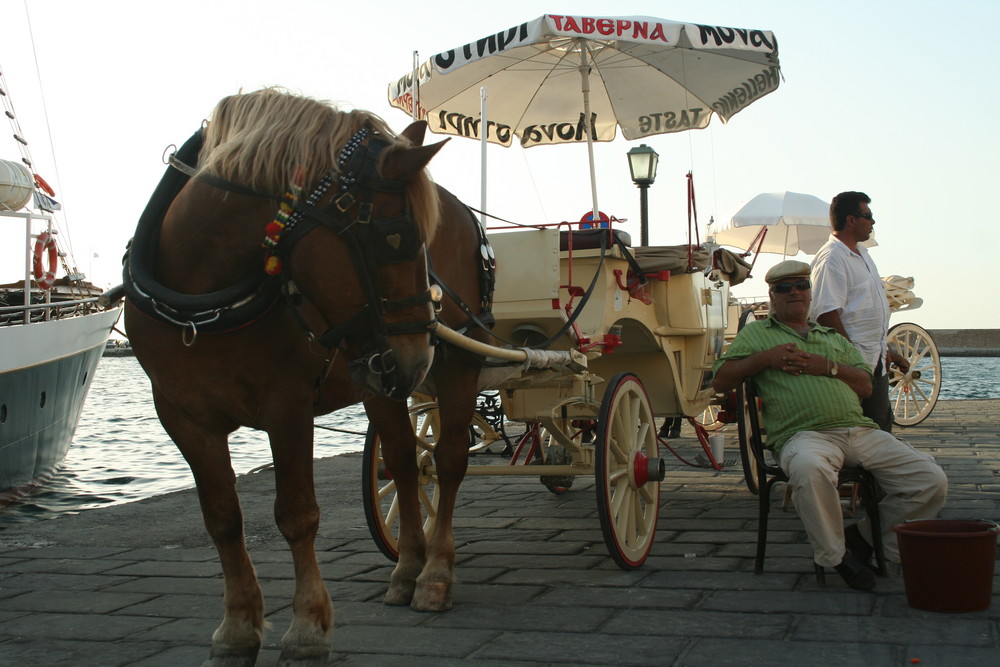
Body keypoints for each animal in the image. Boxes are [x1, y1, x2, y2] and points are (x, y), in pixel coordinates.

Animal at [125, 90, 492, 667]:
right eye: (396, 238)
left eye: (423, 240)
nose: (419, 356)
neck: (202, 296)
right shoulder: (182, 417)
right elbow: (222, 519)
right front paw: (237, 628)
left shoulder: (288, 407)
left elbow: (297, 514)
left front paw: (307, 627)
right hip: (380, 382)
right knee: (405, 464)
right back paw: (407, 568)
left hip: (456, 362)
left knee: (450, 461)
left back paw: (435, 574)